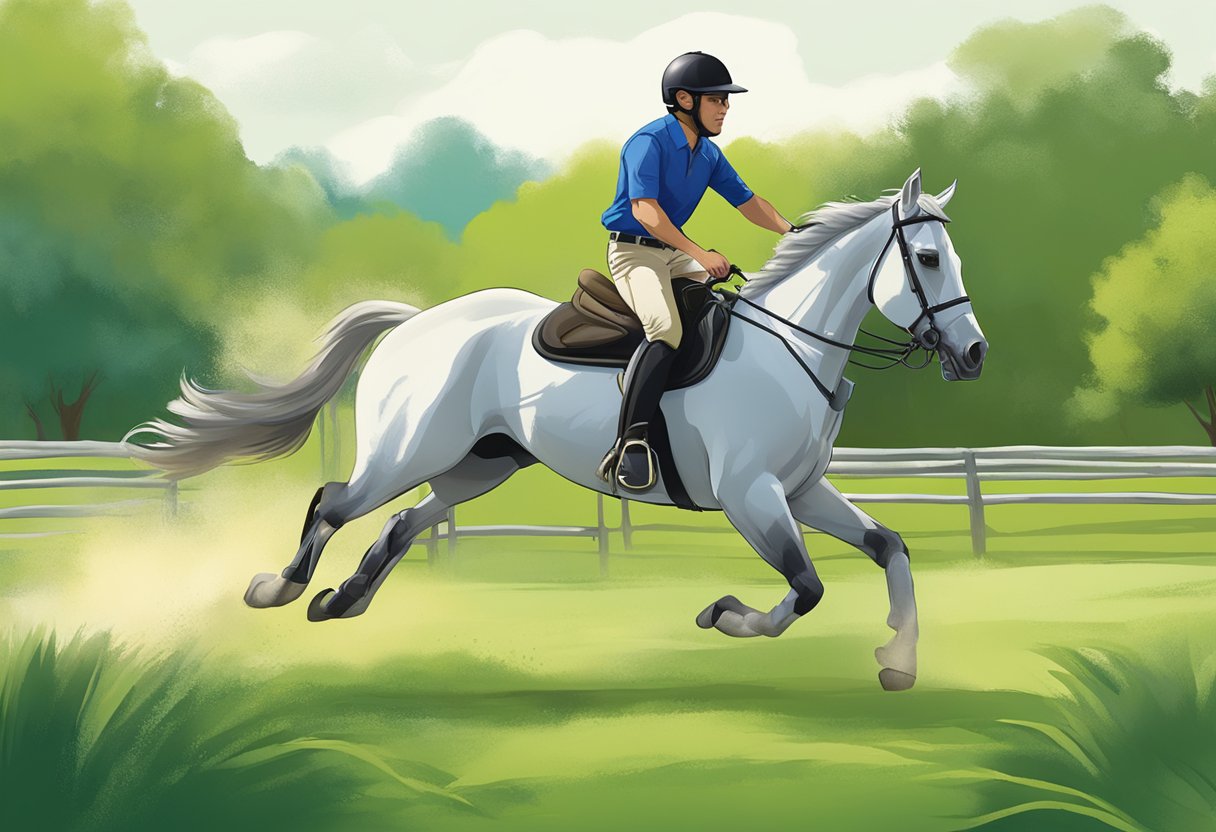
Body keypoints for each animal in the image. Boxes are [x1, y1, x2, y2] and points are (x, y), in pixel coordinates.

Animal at [123, 167, 982, 690]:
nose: (973, 356)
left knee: (402, 523)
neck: (789, 348)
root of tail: (415, 321)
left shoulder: (801, 491)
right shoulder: (753, 495)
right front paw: (724, 615)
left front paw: (899, 661)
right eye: (927, 259)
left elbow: (889, 548)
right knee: (335, 501)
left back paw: (343, 602)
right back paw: (281, 587)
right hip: (411, 449)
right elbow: (804, 588)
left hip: (481, 463)